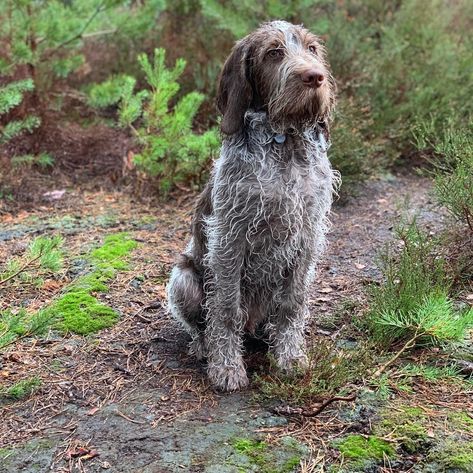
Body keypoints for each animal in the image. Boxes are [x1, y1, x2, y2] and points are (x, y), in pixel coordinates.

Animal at [168, 20, 338, 390]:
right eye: (274, 53)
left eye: (312, 49)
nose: (315, 77)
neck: (284, 142)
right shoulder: (230, 237)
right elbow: (225, 309)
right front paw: (226, 366)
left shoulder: (308, 235)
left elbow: (292, 304)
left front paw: (289, 356)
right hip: (183, 279)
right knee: (202, 323)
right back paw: (204, 346)